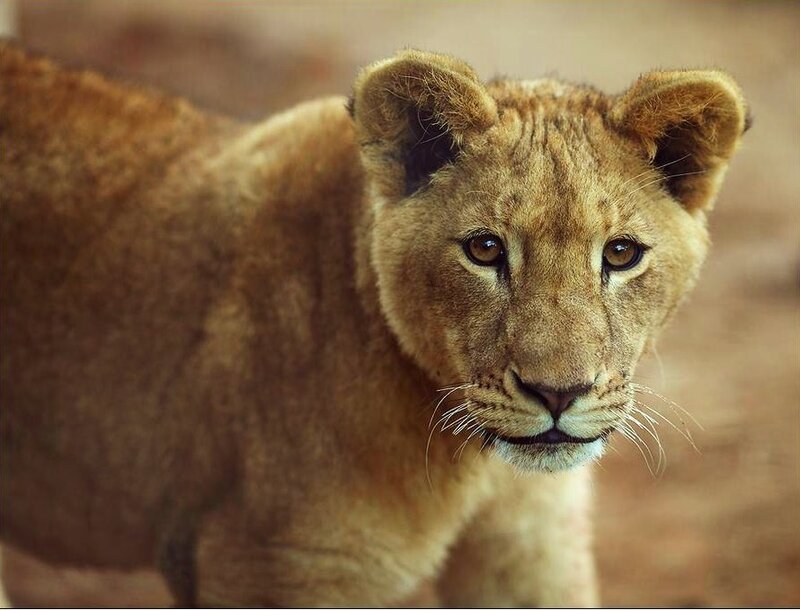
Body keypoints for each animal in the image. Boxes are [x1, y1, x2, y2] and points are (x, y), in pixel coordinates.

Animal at [0, 43, 748, 607]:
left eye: (620, 254)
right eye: (485, 249)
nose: (558, 394)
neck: (474, 468)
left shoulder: (532, 548)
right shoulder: (273, 563)